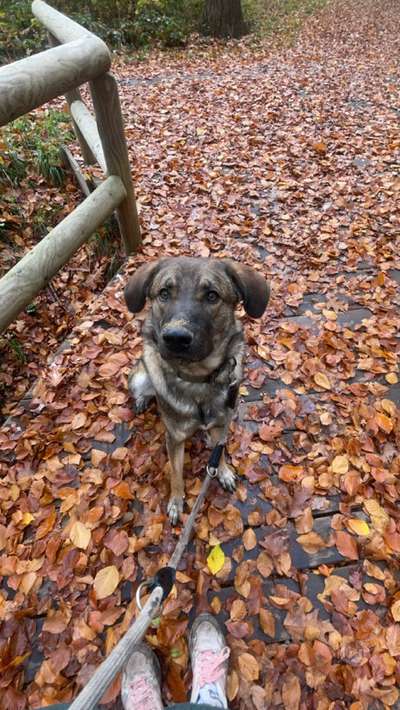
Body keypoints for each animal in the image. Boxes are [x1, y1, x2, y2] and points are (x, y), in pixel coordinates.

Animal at [124, 258, 268, 524]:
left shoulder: (221, 424)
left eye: (212, 296)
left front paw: (223, 472)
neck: (197, 379)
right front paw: (176, 502)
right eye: (164, 293)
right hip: (141, 373)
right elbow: (176, 474)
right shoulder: (174, 438)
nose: (175, 338)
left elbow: (220, 452)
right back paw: (141, 400)